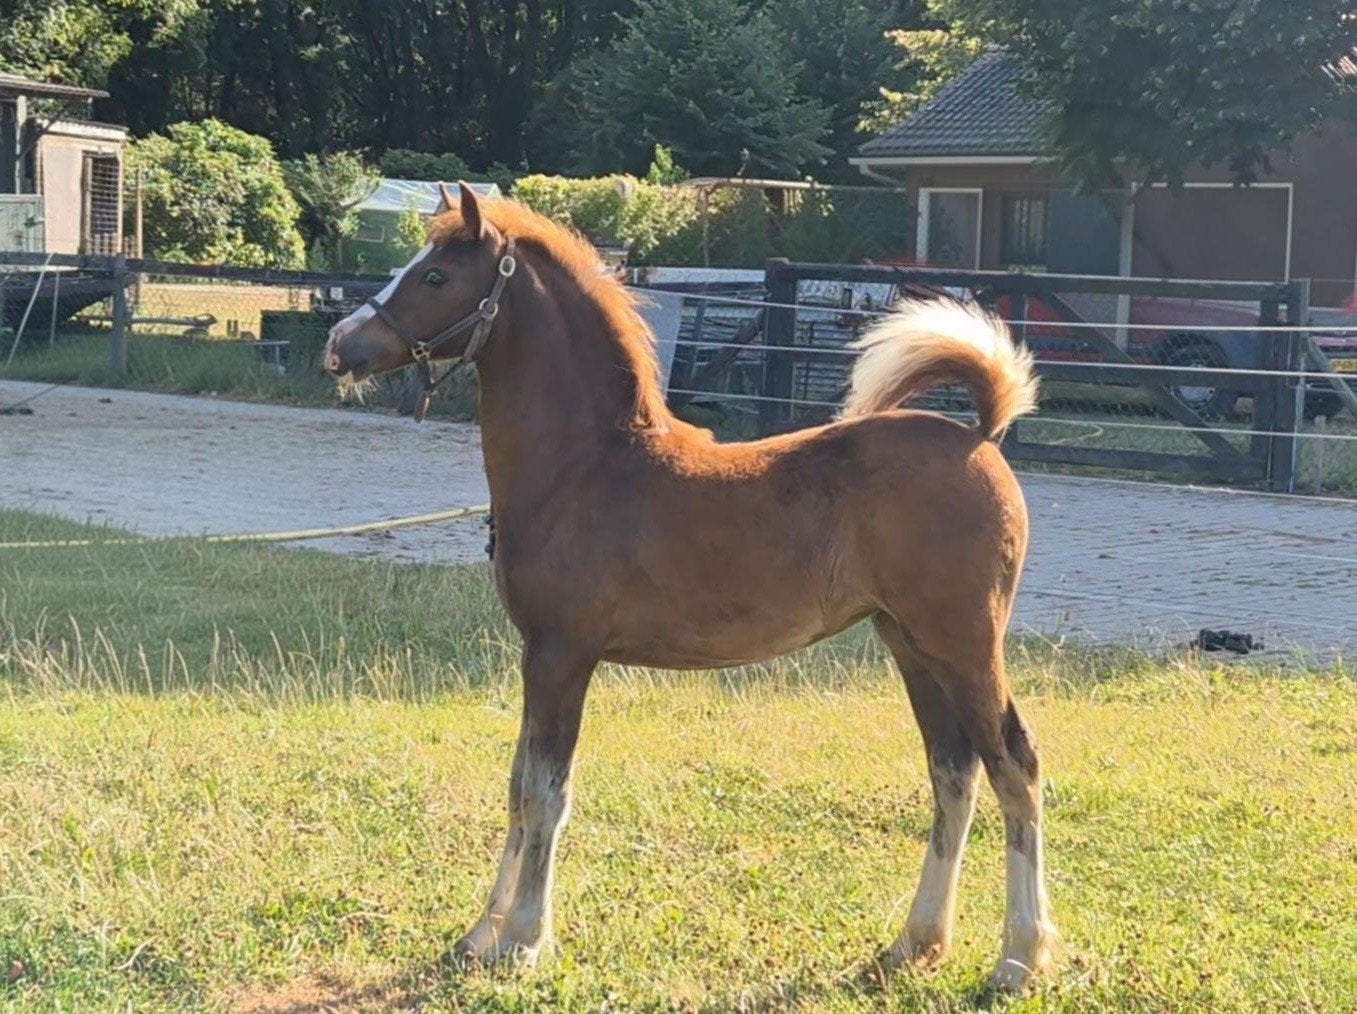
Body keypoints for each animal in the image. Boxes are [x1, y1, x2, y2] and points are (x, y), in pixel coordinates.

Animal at [324, 183, 1056, 992]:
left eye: (434, 276)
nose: (340, 345)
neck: (584, 466)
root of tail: (979, 436)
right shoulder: (539, 657)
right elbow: (517, 786)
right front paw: (479, 935)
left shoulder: (561, 655)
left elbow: (545, 792)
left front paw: (521, 939)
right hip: (910, 644)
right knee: (953, 773)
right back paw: (913, 945)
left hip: (963, 645)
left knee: (1015, 767)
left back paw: (1018, 957)